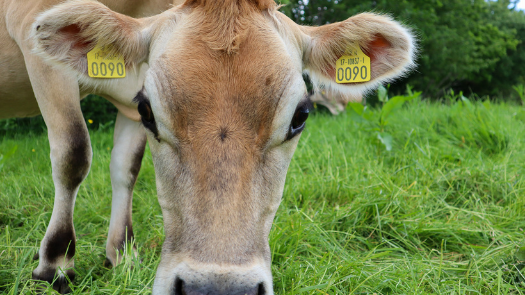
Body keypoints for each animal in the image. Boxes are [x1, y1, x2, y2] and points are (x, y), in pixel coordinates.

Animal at [2, 0, 416, 294]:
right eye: (149, 110)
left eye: (300, 116)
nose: (217, 290)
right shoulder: (32, 33)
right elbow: (73, 153)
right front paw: (56, 265)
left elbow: (126, 167)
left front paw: (122, 255)